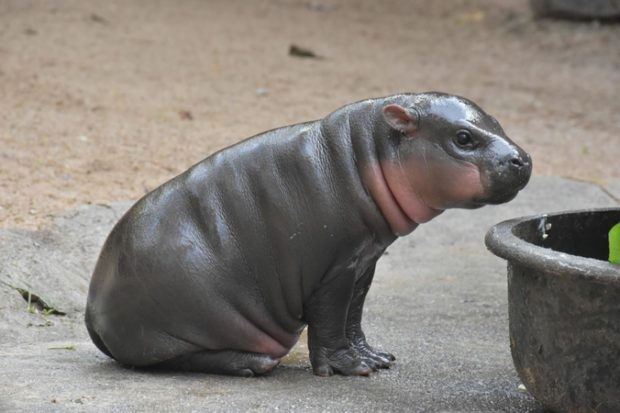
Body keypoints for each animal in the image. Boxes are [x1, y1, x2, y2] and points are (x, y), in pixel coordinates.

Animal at [86, 92, 532, 376]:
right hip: (182, 322)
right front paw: (349, 369)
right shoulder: (333, 270)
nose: (523, 160)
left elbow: (354, 316)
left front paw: (375, 359)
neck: (364, 154)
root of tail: (92, 308)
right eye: (463, 138)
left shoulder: (363, 261)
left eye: (497, 121)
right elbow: (332, 319)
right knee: (169, 359)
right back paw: (253, 364)